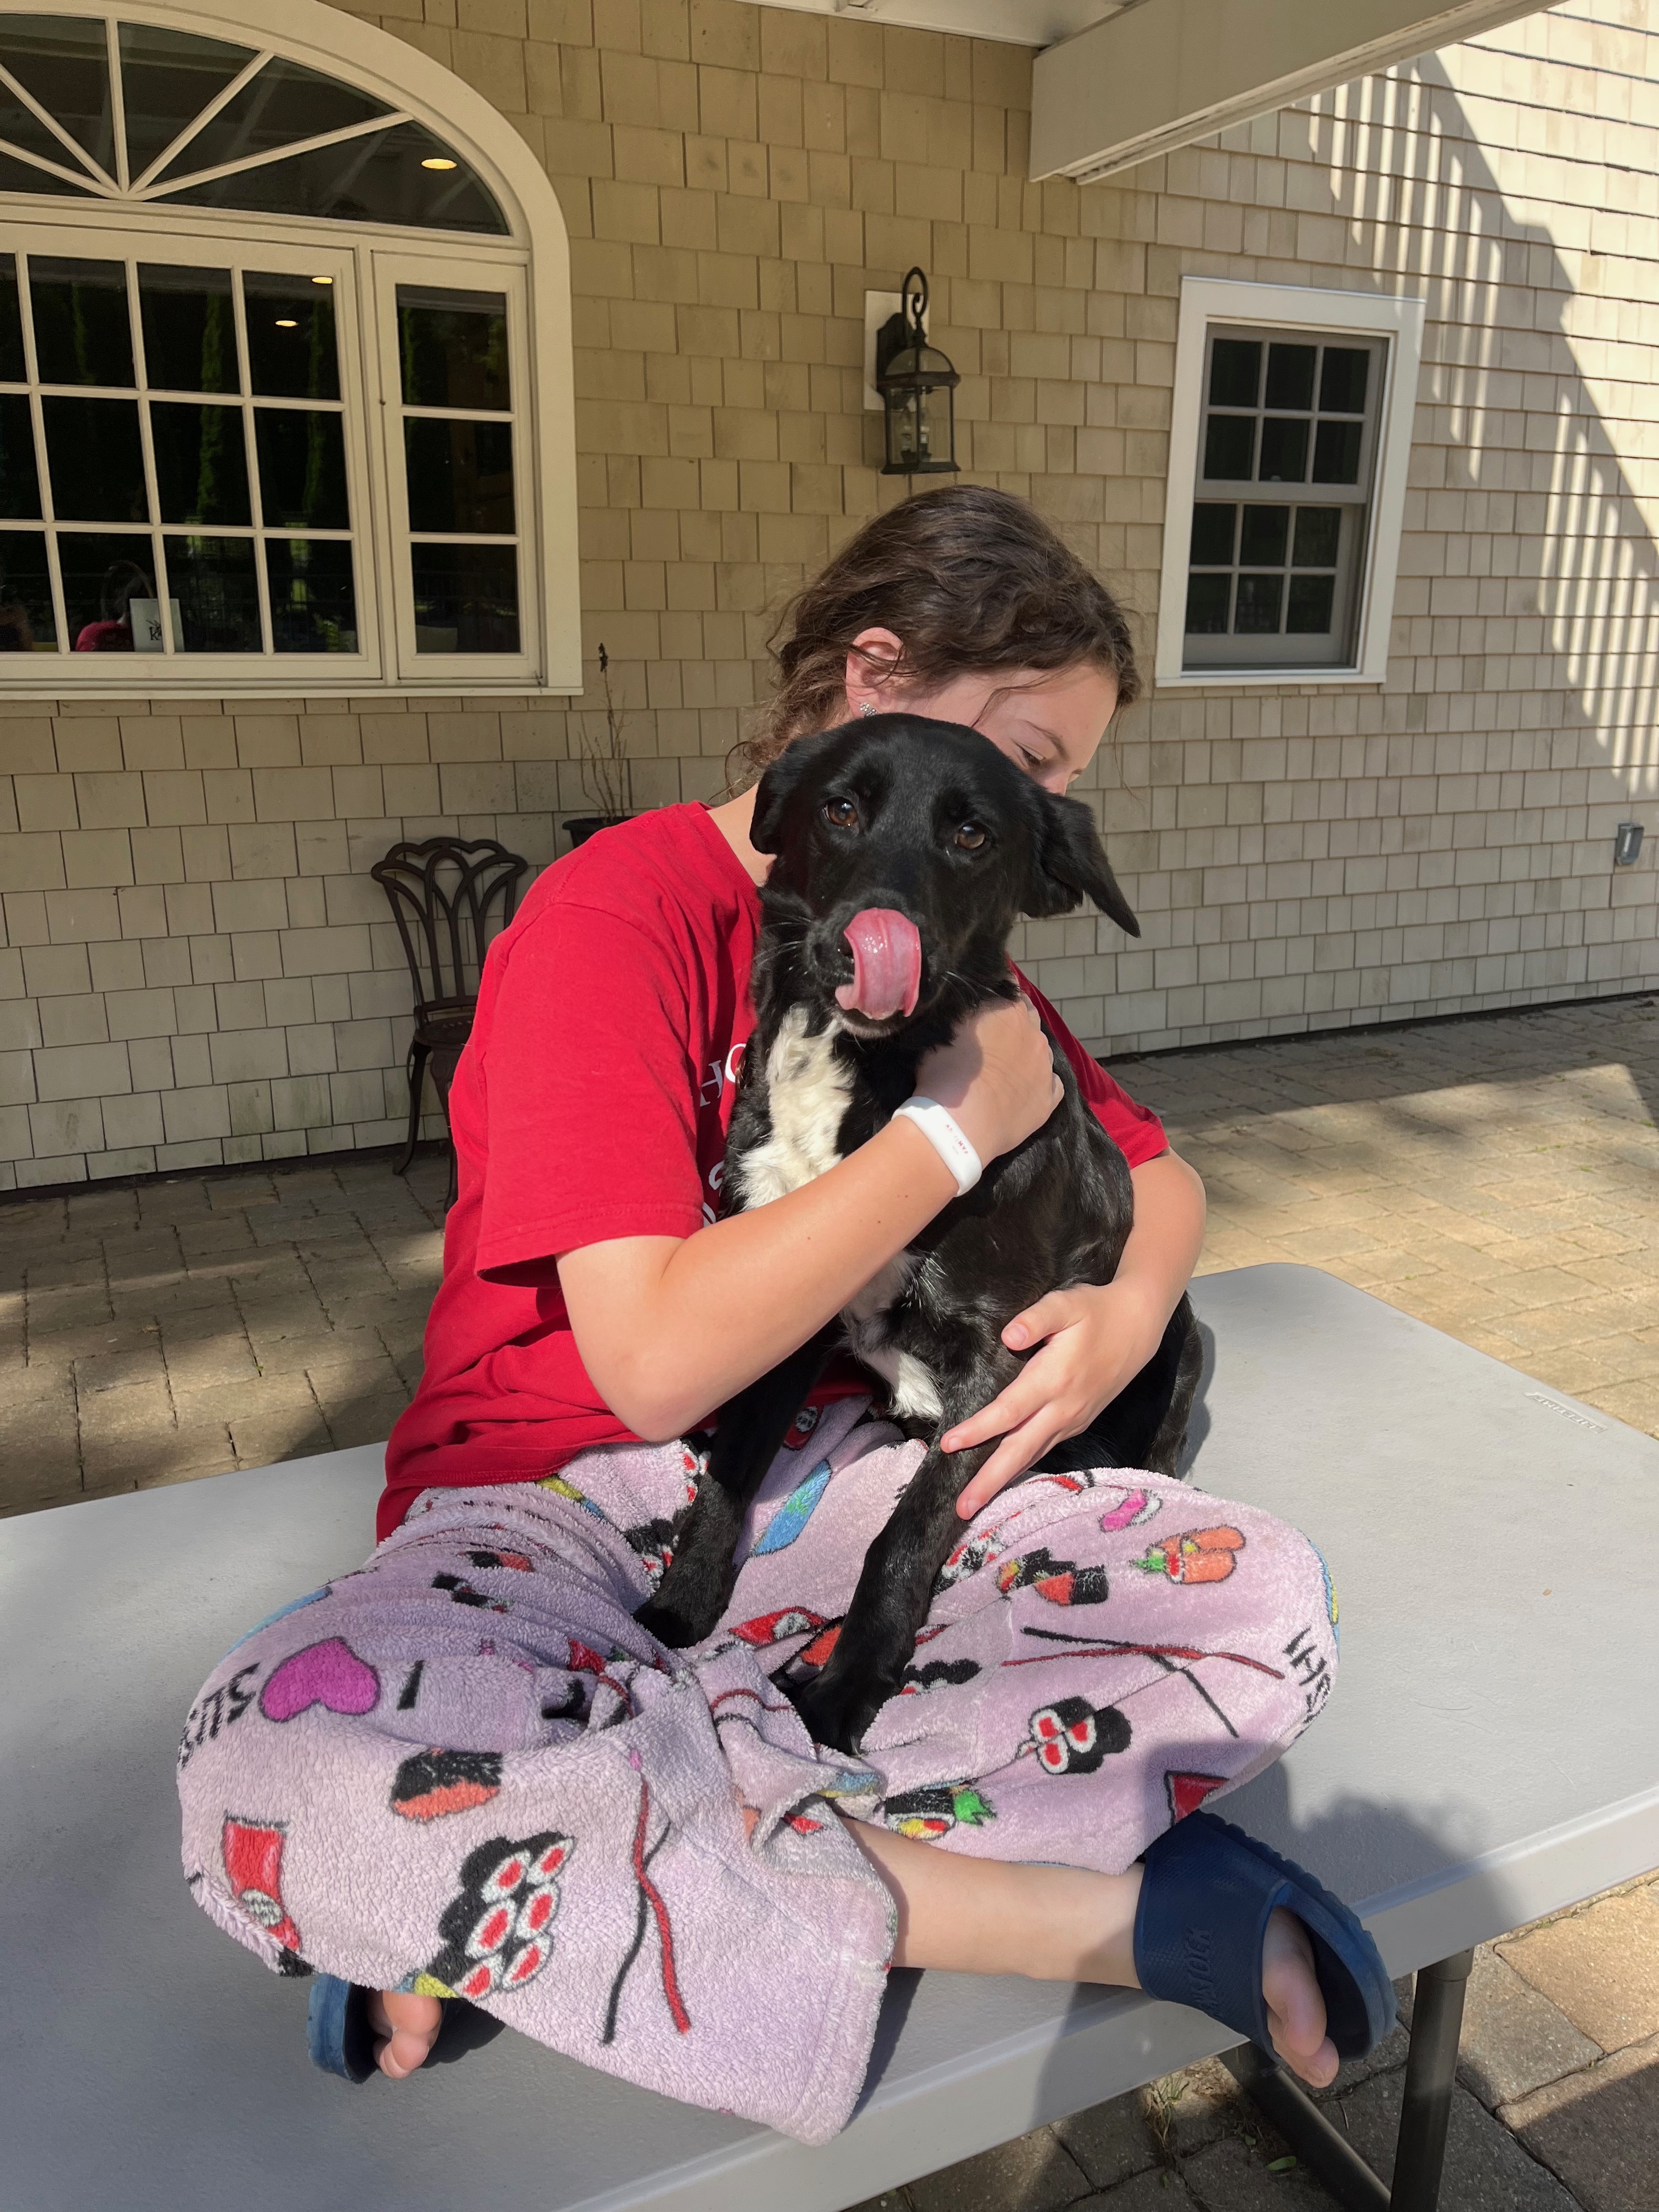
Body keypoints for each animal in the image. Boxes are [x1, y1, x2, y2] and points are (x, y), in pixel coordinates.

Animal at [633, 716, 1194, 1752]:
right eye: (840, 808)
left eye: (971, 834)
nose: (870, 943)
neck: (866, 1075)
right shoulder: (782, 1326)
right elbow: (727, 1474)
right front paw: (681, 1600)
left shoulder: (999, 1360)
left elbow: (902, 1535)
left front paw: (843, 1691)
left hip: (1178, 1336)